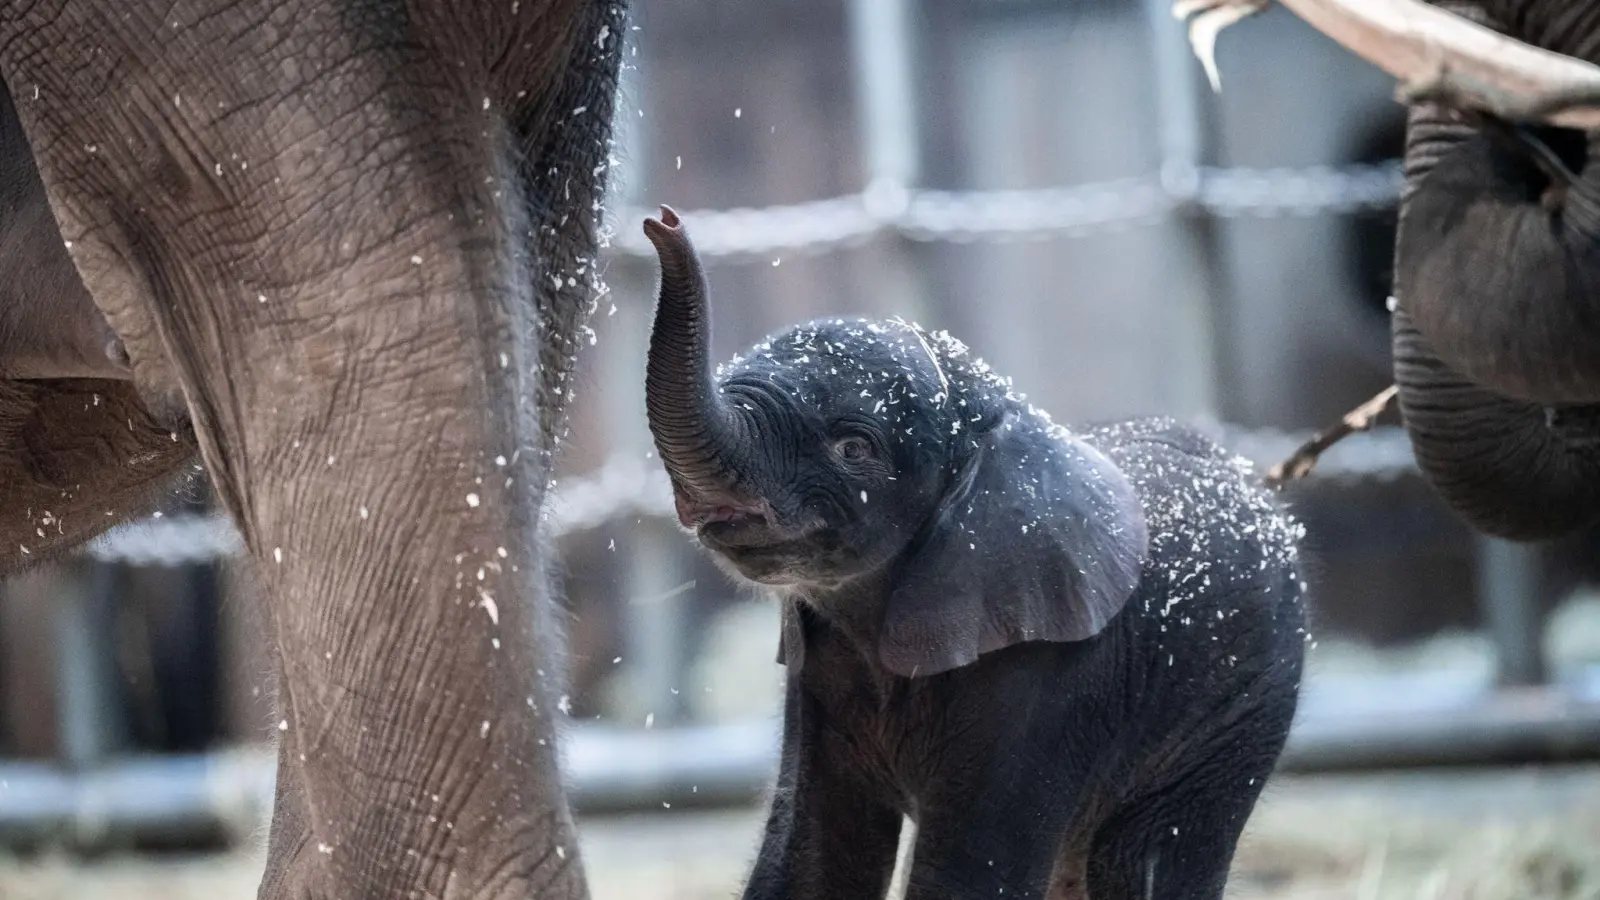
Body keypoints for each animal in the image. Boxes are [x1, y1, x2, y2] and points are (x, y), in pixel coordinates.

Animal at [643, 204, 1305, 896]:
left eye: (854, 447)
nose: (662, 222)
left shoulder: (1050, 669)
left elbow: (969, 872)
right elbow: (809, 857)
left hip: (1245, 699)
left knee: (1146, 858)